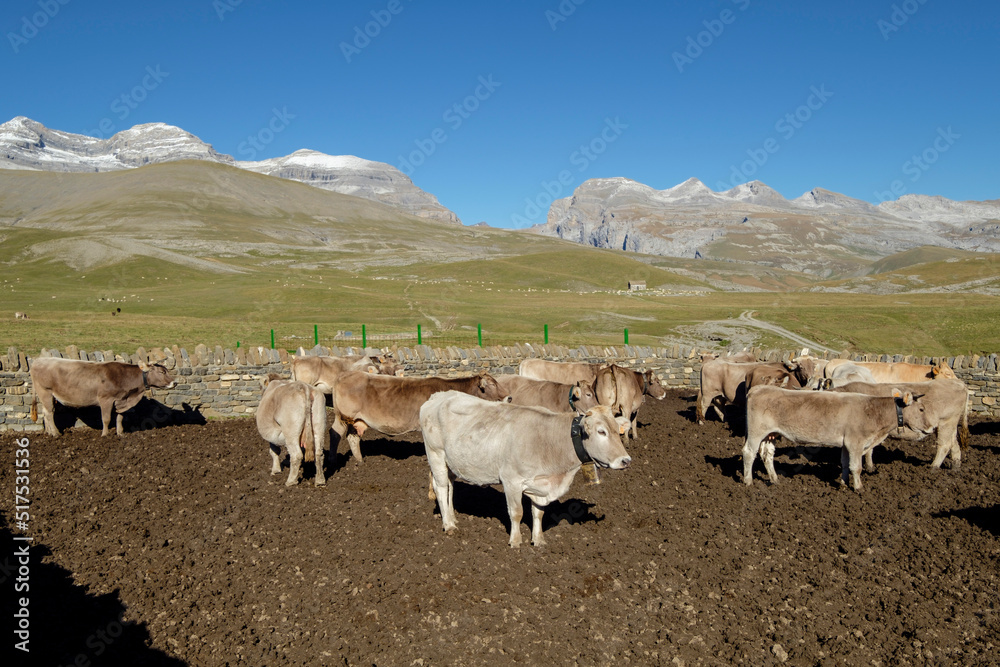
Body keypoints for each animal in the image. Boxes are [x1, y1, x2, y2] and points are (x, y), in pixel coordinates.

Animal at [30, 357, 175, 437]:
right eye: (162, 372)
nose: (175, 382)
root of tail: (38, 360)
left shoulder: (120, 400)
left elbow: (119, 418)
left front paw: (120, 433)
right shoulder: (106, 399)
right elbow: (106, 419)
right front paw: (105, 434)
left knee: (45, 412)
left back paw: (49, 432)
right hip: (45, 392)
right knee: (49, 413)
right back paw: (56, 433)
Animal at [331, 371, 508, 462]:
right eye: (492, 384)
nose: (509, 397)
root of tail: (345, 375)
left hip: (355, 420)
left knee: (353, 438)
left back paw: (360, 461)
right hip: (343, 417)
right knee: (334, 434)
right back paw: (332, 460)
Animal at [420, 391, 631, 548]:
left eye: (617, 431)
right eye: (601, 431)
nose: (625, 460)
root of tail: (439, 396)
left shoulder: (541, 485)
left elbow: (538, 513)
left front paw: (538, 540)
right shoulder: (511, 480)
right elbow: (517, 512)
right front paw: (515, 542)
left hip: (451, 462)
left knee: (450, 486)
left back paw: (452, 518)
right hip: (436, 454)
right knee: (441, 487)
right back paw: (448, 525)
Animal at [742, 385, 935, 491]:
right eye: (921, 409)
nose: (932, 428)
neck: (873, 411)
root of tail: (759, 388)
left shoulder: (846, 443)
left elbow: (845, 464)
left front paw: (843, 483)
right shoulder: (856, 442)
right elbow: (857, 467)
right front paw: (858, 487)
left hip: (770, 435)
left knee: (767, 454)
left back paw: (774, 479)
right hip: (756, 432)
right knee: (749, 452)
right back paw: (748, 481)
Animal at [831, 379, 970, 470]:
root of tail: (959, 383)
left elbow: (868, 450)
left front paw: (869, 467)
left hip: (946, 422)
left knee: (944, 445)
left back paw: (933, 467)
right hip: (949, 426)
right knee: (954, 444)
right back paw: (955, 466)